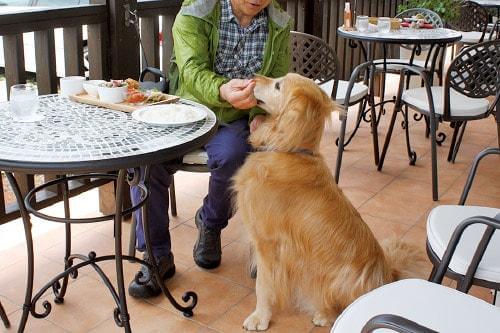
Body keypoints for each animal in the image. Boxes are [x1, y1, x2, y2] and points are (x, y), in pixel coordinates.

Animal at [232, 73, 424, 330]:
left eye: (278, 85)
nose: (253, 76)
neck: (289, 150)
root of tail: (387, 276)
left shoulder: (267, 243)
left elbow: (262, 286)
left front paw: (259, 317)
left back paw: (323, 315)